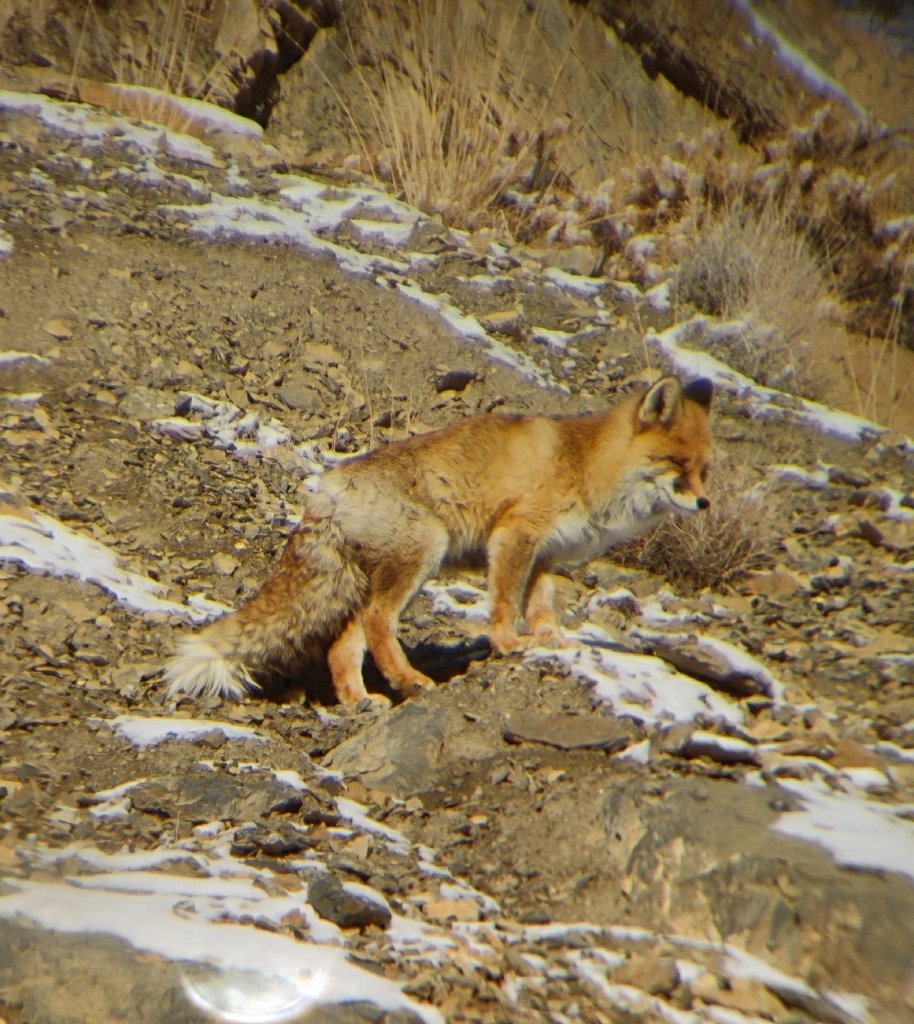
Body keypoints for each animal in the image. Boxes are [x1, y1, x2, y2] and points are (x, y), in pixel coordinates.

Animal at [164, 374, 713, 707]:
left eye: (705, 470)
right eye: (677, 465)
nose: (706, 505)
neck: (588, 466)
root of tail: (327, 487)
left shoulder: (547, 555)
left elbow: (541, 608)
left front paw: (552, 641)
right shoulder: (515, 535)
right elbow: (504, 604)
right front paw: (509, 643)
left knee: (344, 645)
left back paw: (358, 700)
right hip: (423, 552)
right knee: (377, 622)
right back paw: (408, 680)